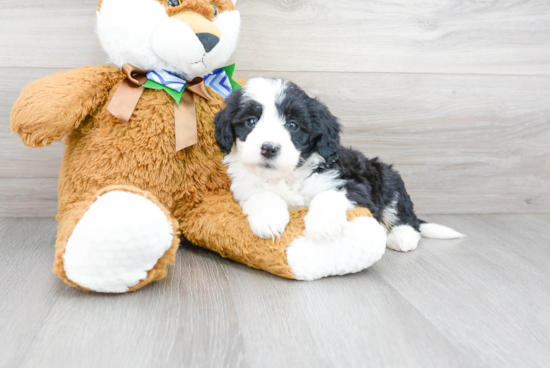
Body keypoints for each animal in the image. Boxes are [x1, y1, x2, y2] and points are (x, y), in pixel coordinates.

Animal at [216, 78, 466, 252]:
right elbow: (261, 195)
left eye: (293, 125)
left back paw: (403, 236)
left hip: (387, 177)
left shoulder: (355, 185)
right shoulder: (244, 189)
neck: (287, 175)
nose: (269, 148)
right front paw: (268, 219)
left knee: (405, 215)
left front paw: (322, 223)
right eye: (251, 121)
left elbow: (329, 194)